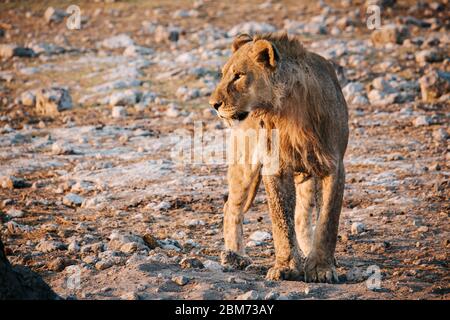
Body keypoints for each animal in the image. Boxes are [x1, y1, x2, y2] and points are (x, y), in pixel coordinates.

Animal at [209, 32, 350, 282]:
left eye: (238, 76)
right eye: (223, 74)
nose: (213, 104)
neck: (291, 113)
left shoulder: (334, 166)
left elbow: (327, 221)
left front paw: (321, 268)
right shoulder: (275, 166)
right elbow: (281, 219)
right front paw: (286, 267)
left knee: (303, 217)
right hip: (244, 164)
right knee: (230, 207)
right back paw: (235, 255)